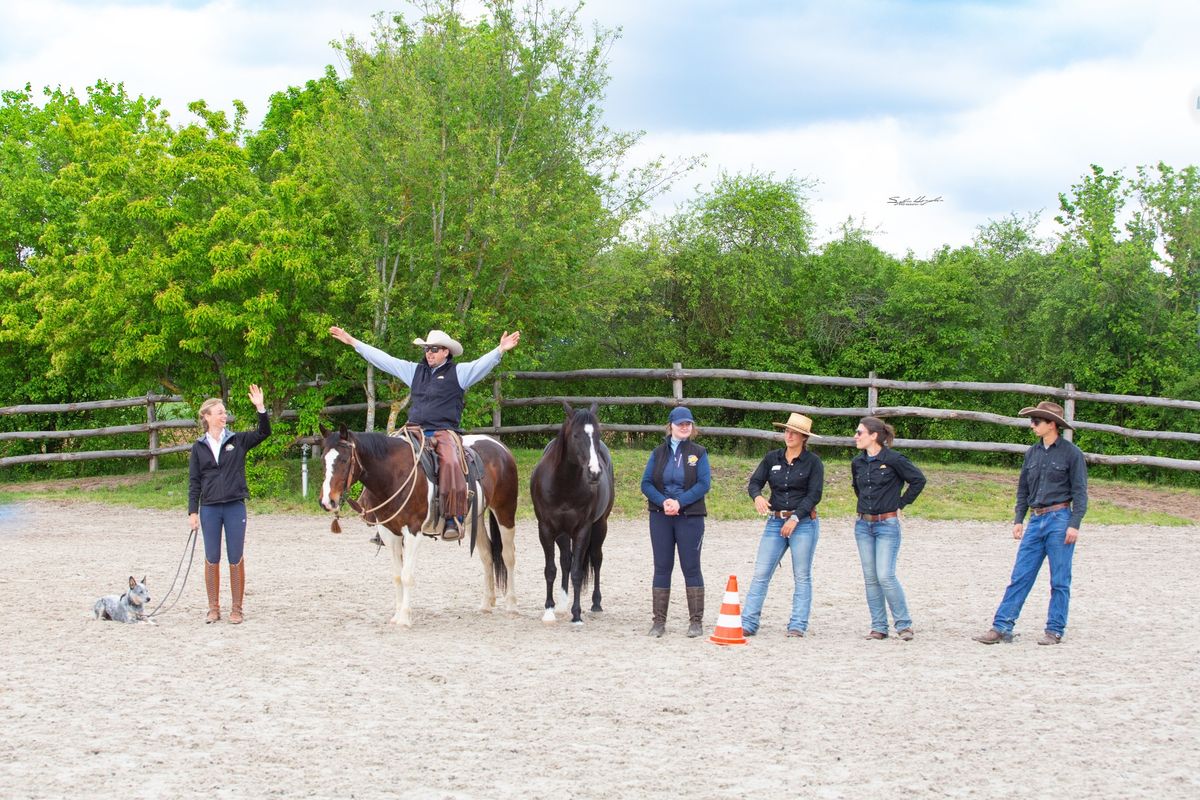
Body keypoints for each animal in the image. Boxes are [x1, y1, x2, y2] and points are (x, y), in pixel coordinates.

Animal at [319, 424, 520, 623]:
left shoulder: (413, 531)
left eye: (344, 460)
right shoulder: (389, 533)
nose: (327, 501)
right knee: (487, 555)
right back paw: (486, 604)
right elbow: (397, 575)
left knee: (508, 555)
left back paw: (511, 605)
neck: (393, 474)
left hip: (505, 511)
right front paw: (397, 615)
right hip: (474, 519)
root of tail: (499, 447)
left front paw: (405, 618)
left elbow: (407, 576)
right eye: (323, 460)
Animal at [530, 402, 614, 628]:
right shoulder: (546, 529)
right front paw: (549, 610)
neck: (564, 483)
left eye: (598, 434)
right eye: (576, 435)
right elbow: (551, 569)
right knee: (565, 561)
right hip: (562, 533)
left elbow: (577, 572)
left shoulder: (583, 530)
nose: (594, 473)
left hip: (600, 526)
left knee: (596, 559)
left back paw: (596, 603)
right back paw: (561, 604)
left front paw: (577, 615)